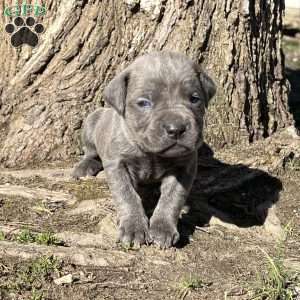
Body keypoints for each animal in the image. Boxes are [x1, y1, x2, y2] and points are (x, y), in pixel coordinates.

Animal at [73, 51, 218, 248]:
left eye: (194, 99)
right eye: (144, 103)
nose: (176, 128)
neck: (151, 153)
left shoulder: (184, 166)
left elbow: (172, 198)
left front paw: (163, 228)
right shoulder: (117, 165)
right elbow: (127, 196)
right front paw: (133, 228)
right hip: (91, 122)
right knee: (90, 151)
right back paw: (85, 166)